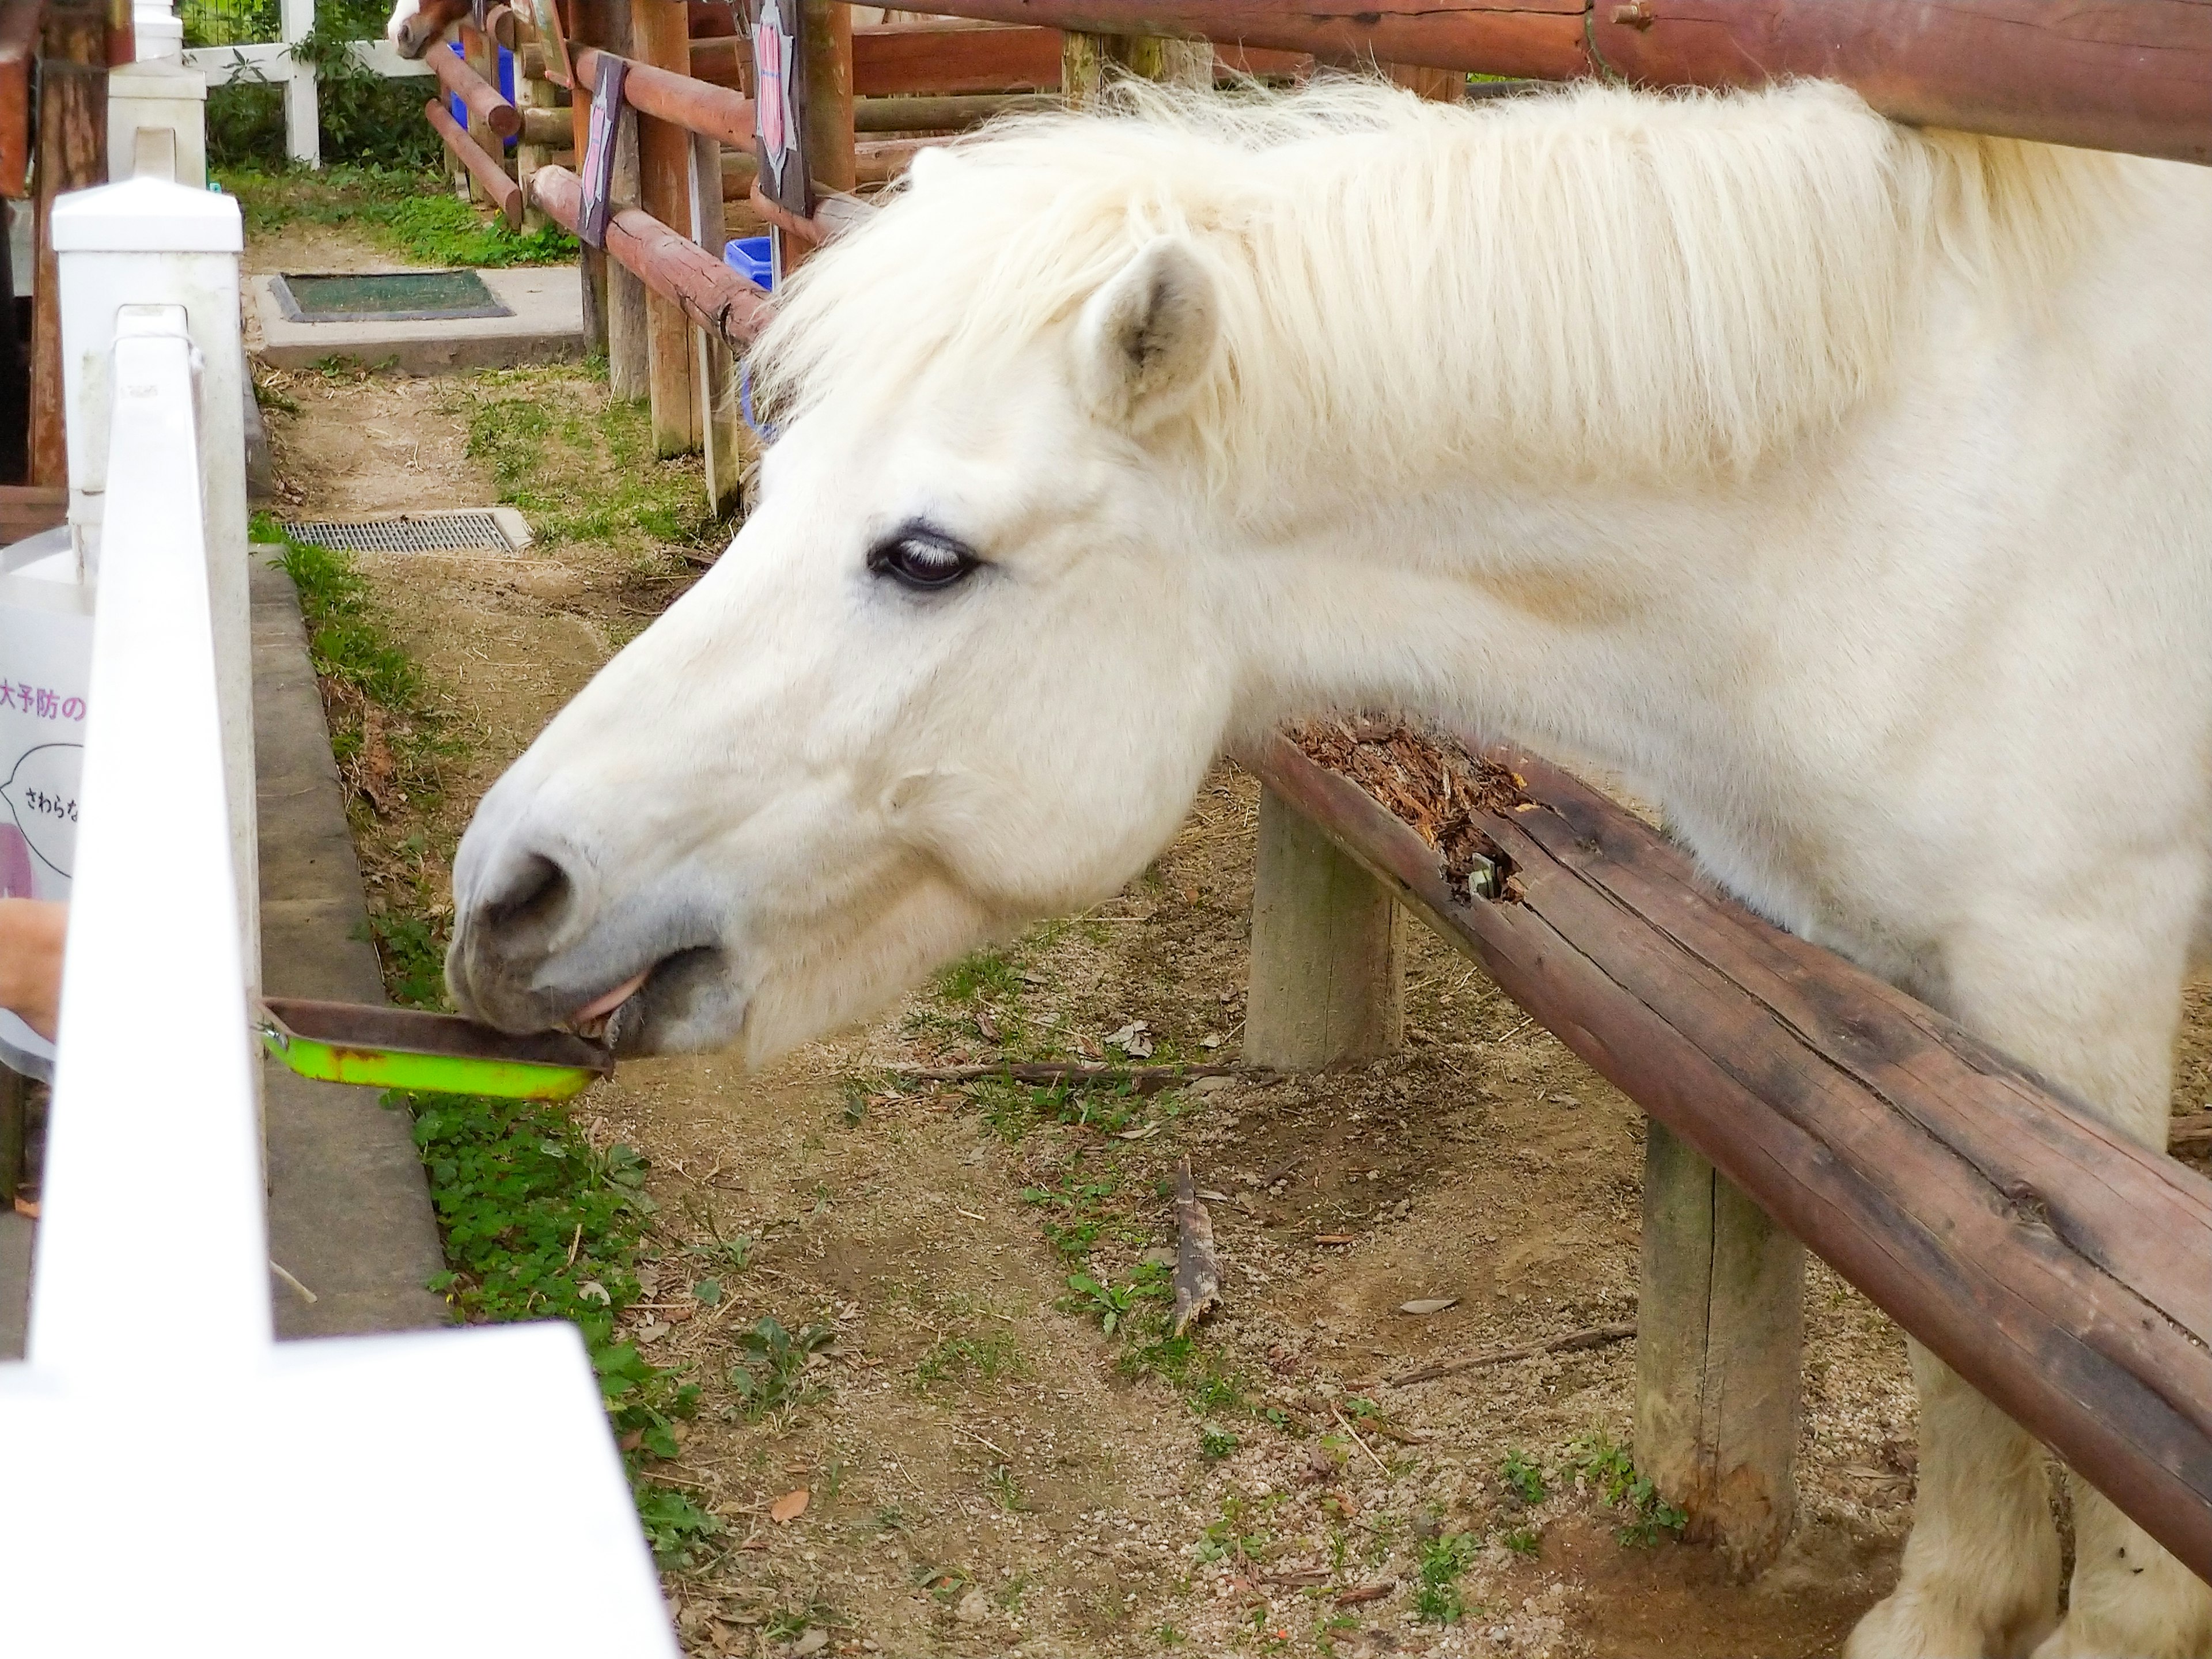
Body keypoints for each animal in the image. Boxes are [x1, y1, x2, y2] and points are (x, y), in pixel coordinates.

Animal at [444, 81, 2212, 1659]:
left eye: (926, 557)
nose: (507, 894)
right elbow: (1962, 1324)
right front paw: (1958, 1608)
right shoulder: (1883, 995)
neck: (1920, 498)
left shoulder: (2073, 978)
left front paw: (2108, 1628)